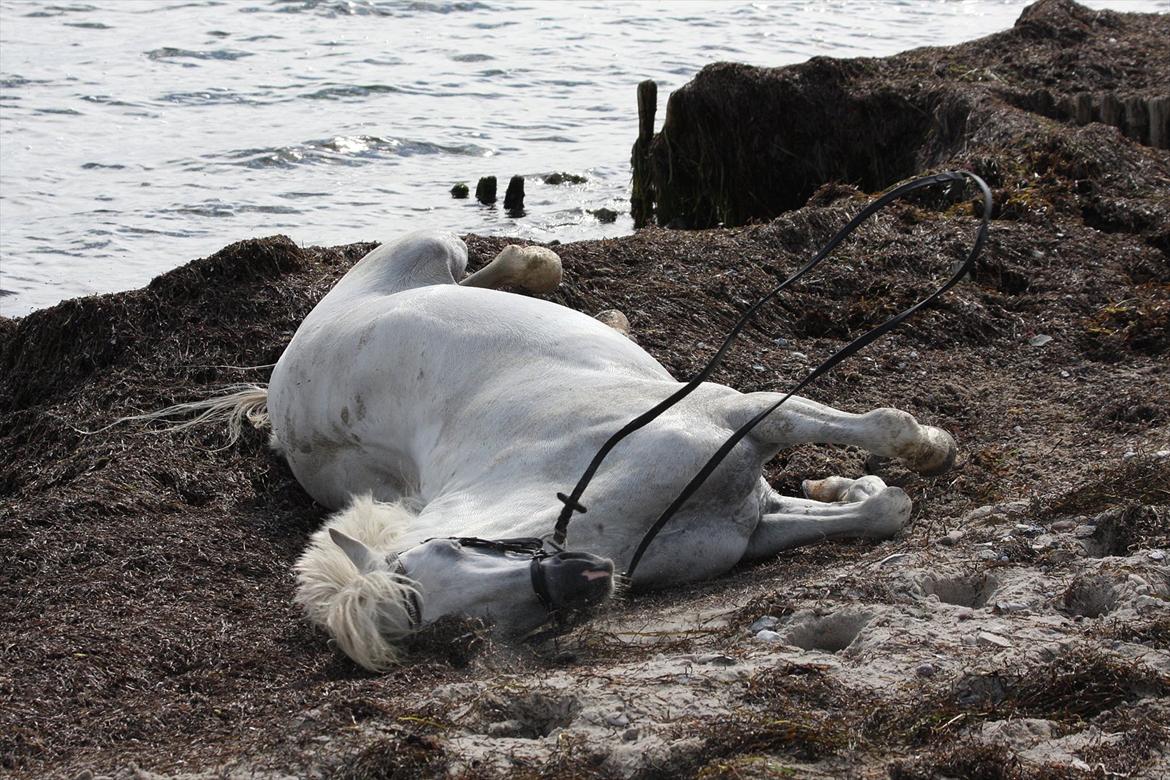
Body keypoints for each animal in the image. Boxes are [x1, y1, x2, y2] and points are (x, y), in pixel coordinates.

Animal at [172, 229, 956, 670]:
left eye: (444, 552)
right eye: (463, 633)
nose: (584, 580)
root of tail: (282, 379)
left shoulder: (742, 412)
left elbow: (884, 428)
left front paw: (932, 449)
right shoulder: (750, 521)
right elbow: (879, 513)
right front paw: (854, 489)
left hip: (425, 250)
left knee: (506, 265)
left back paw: (561, 285)